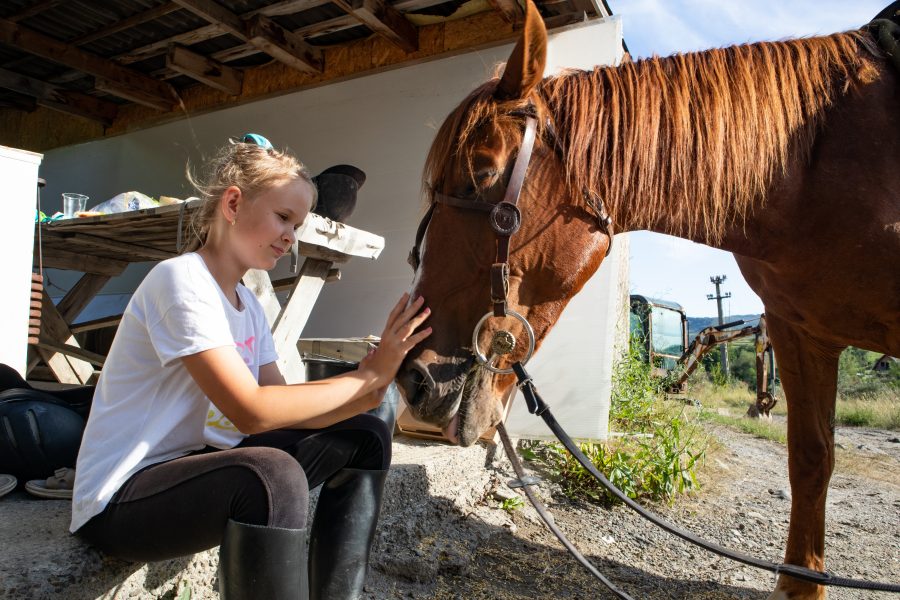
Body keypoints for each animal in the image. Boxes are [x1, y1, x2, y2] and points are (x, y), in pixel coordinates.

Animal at [398, 2, 900, 596]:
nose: (412, 379)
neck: (817, 169)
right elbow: (809, 456)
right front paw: (800, 585)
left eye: (482, 174)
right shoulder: (798, 329)